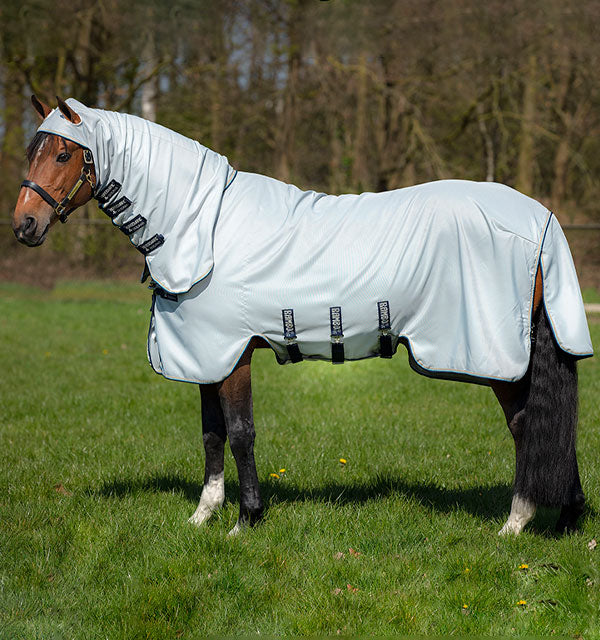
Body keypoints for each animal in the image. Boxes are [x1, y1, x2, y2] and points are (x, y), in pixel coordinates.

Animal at [13, 95, 593, 536]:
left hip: (500, 359)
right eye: (32, 150)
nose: (24, 226)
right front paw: (202, 515)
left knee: (527, 426)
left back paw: (517, 523)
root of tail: (539, 218)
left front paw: (245, 520)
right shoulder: (205, 355)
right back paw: (566, 519)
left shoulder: (232, 355)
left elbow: (240, 432)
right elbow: (211, 433)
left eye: (63, 154)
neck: (203, 228)